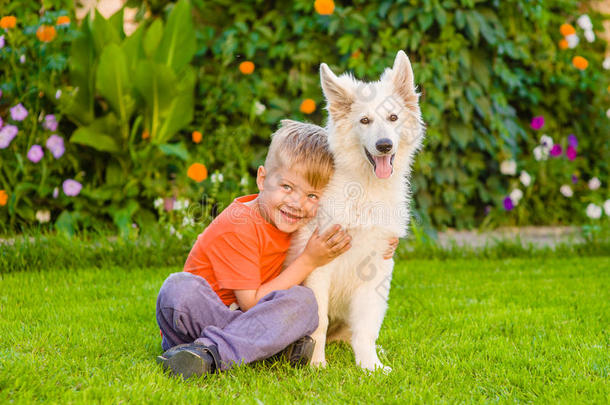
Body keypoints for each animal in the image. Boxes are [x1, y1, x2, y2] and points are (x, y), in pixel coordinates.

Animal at [284, 50, 422, 372]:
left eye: (393, 117)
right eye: (365, 120)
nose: (384, 145)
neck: (366, 190)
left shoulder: (377, 267)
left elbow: (367, 327)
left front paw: (370, 367)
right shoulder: (318, 266)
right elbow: (319, 323)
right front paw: (317, 366)